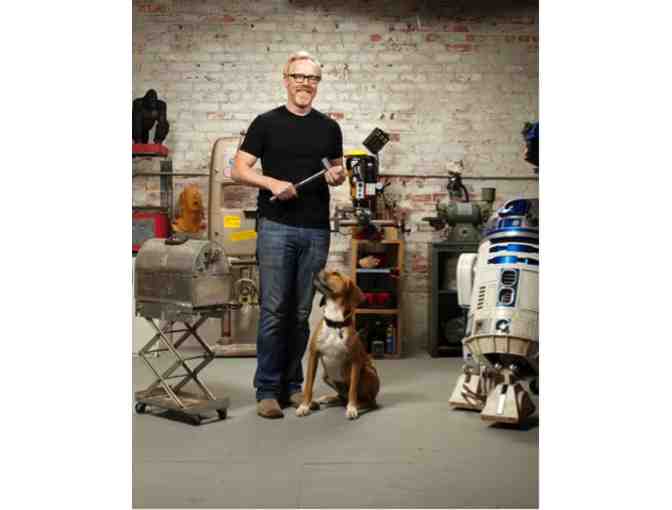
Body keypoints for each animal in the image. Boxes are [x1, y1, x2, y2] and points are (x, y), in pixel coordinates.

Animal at [296, 270, 380, 420]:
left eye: (336, 273)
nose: (317, 270)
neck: (335, 323)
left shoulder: (356, 361)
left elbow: (353, 389)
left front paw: (352, 408)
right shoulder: (313, 355)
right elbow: (308, 385)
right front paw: (304, 406)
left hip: (367, 372)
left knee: (368, 401)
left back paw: (356, 405)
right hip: (326, 376)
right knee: (341, 397)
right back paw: (325, 399)